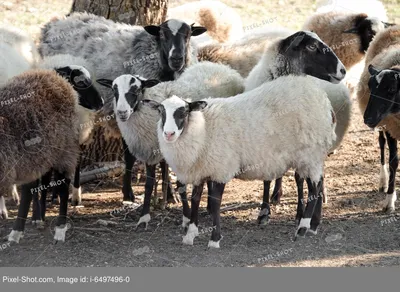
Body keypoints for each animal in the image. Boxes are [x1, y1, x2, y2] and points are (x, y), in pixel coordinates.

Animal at [38, 12, 206, 205]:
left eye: (188, 35)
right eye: (162, 35)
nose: (177, 59)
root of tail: (56, 22)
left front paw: (170, 195)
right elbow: (130, 156)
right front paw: (129, 193)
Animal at [97, 61, 244, 229]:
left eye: (137, 89)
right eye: (114, 90)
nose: (122, 112)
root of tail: (221, 66)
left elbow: (180, 184)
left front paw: (186, 216)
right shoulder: (150, 151)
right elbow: (149, 185)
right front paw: (144, 217)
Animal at [144, 74, 338, 246]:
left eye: (183, 112)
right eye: (161, 112)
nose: (169, 134)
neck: (205, 128)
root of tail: (324, 100)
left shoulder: (221, 168)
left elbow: (215, 203)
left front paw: (214, 239)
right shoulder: (201, 169)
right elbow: (195, 199)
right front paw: (190, 234)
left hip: (310, 153)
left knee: (314, 187)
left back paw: (303, 228)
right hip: (310, 157)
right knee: (319, 182)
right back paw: (314, 225)